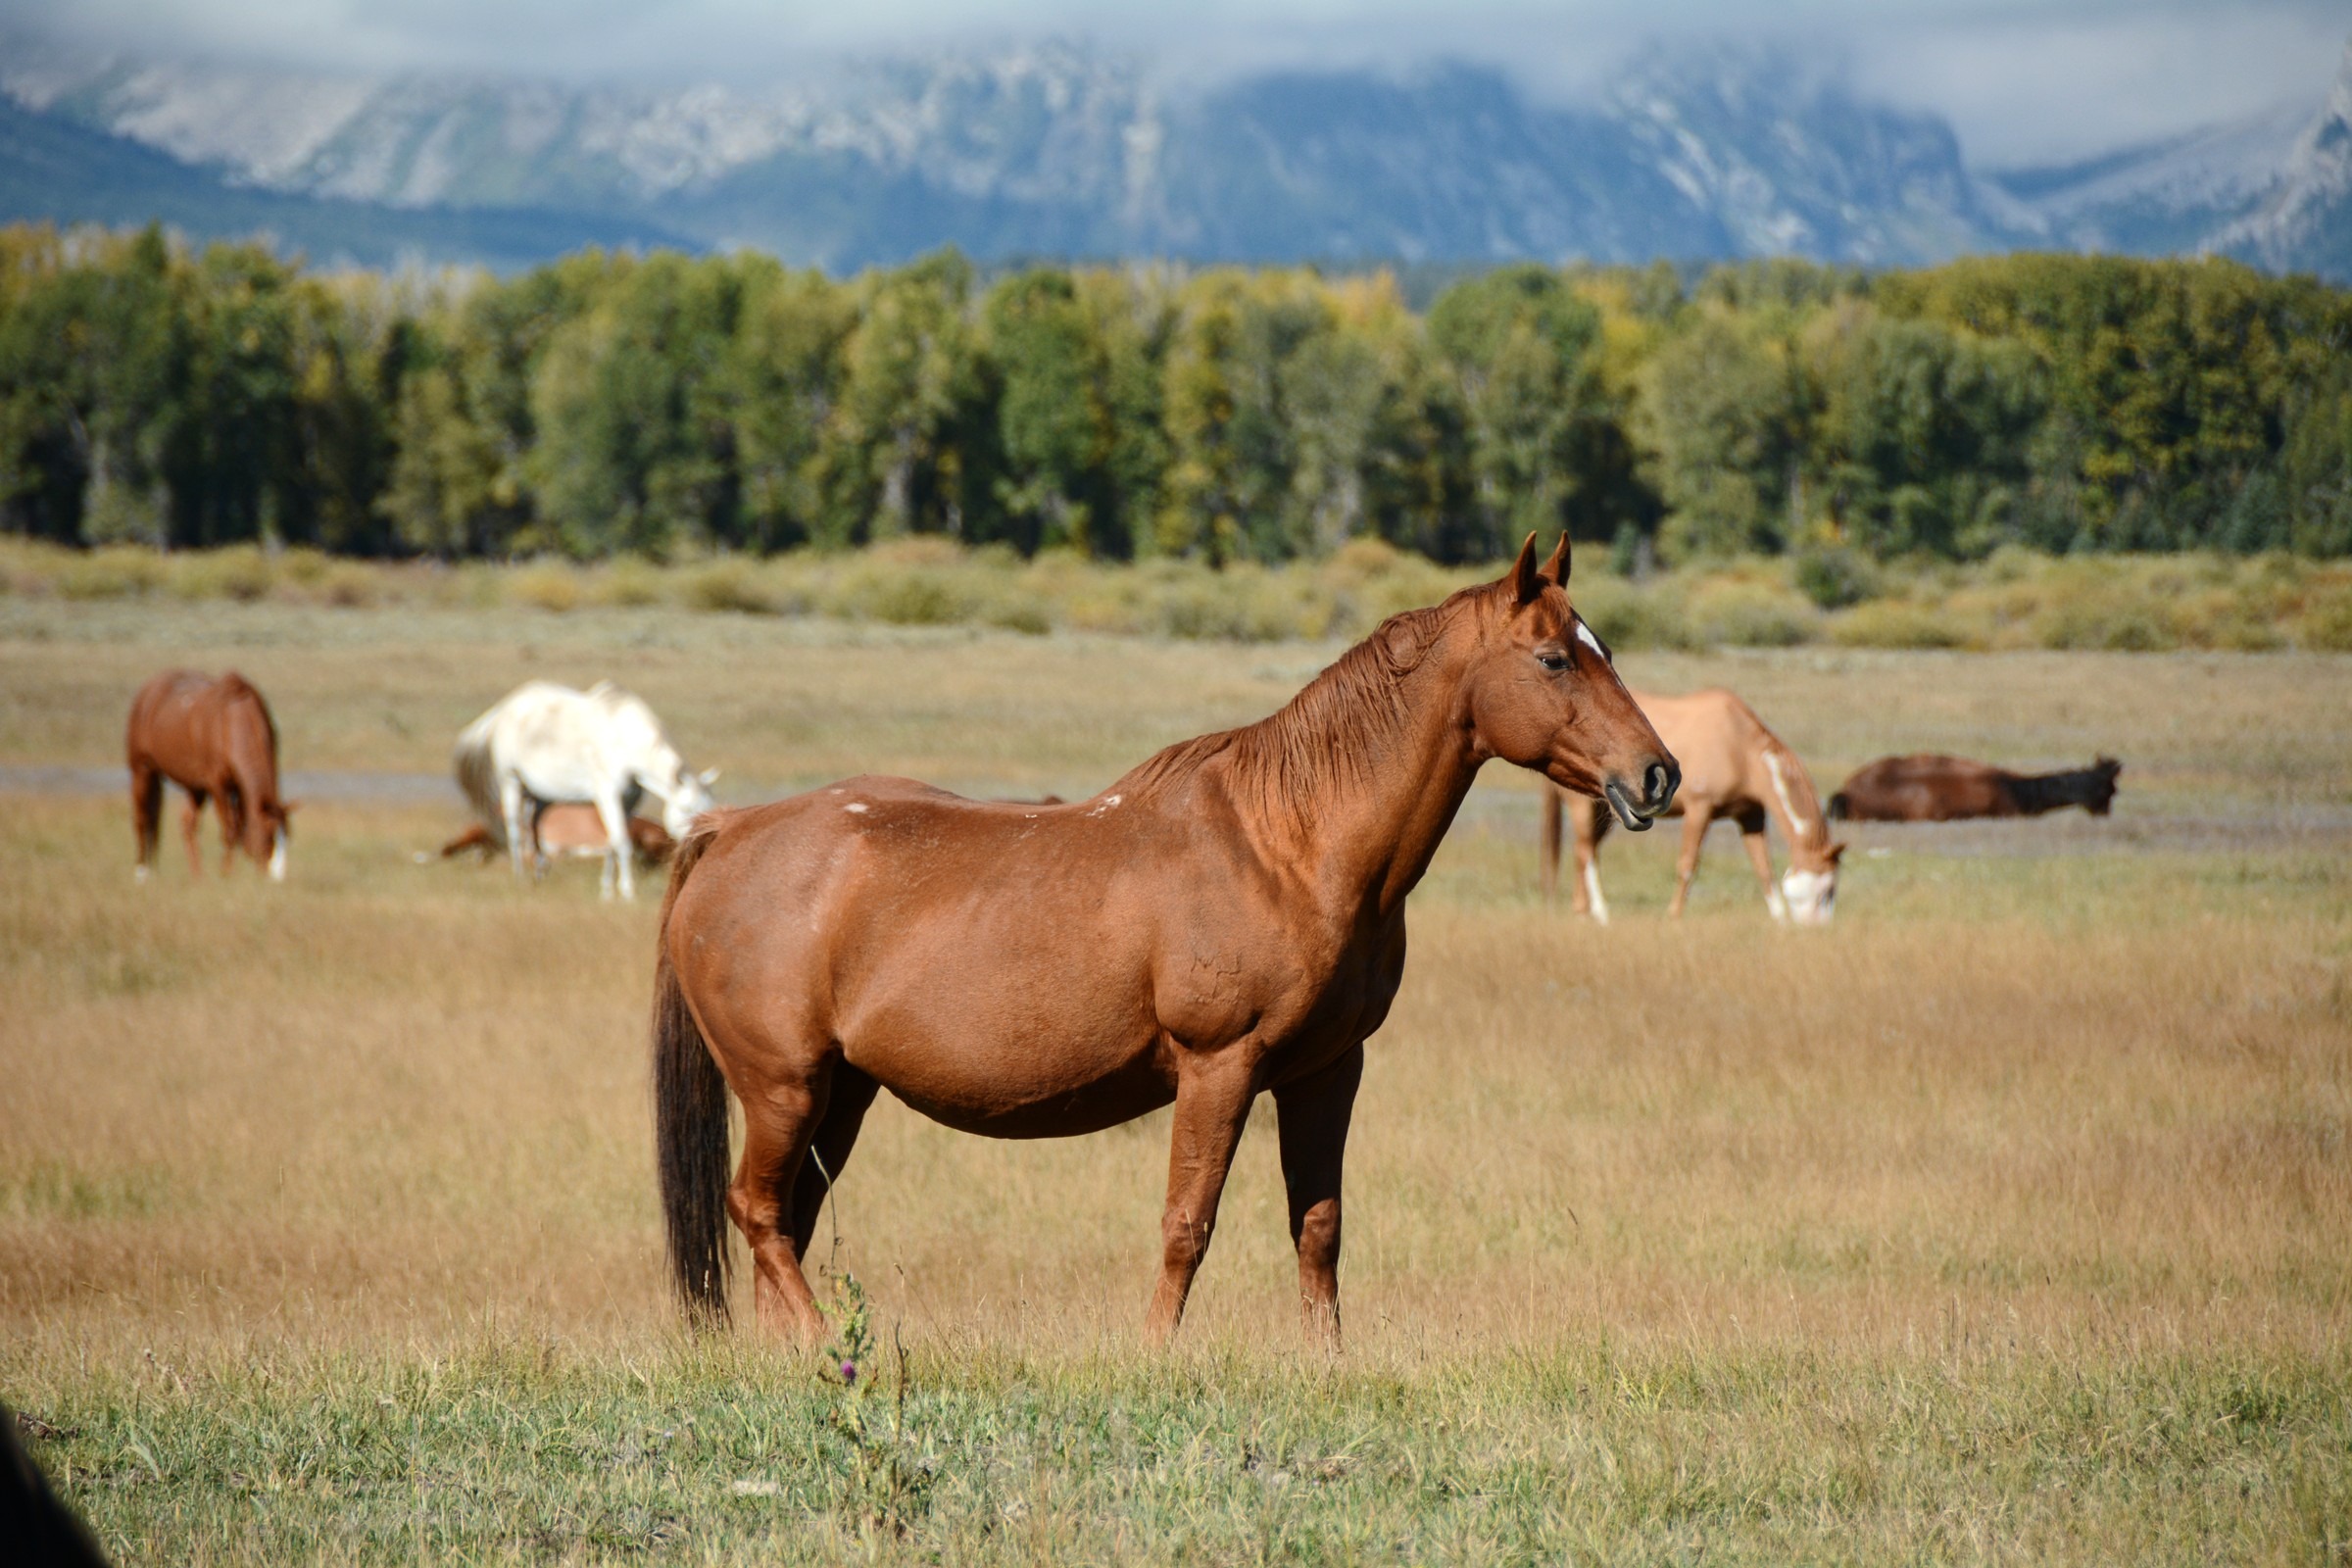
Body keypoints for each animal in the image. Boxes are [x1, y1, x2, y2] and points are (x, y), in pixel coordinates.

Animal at [127, 667, 296, 879]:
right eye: (268, 836)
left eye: (287, 837)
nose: (276, 879)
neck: (233, 720)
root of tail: (148, 691)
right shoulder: (218, 785)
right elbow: (231, 830)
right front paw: (226, 875)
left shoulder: (238, 787)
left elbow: (240, 827)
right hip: (142, 770)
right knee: (142, 819)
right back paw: (142, 873)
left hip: (195, 787)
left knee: (187, 825)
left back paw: (197, 876)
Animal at [454, 681, 714, 903]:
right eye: (686, 809)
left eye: (708, 807)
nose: (701, 846)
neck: (623, 740)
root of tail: (501, 712)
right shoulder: (608, 796)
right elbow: (622, 843)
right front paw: (627, 892)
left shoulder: (628, 801)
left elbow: (612, 842)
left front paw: (607, 891)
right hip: (512, 782)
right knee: (515, 830)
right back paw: (520, 878)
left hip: (540, 796)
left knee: (534, 828)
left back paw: (540, 873)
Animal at [654, 540, 1684, 1353]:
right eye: (1554, 659)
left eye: (1601, 651)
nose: (1658, 776)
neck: (1288, 845)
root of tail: (730, 831)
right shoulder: (1218, 1067)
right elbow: (1188, 1223)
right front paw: (1154, 1354)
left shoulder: (1328, 1072)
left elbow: (1319, 1225)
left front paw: (1328, 1362)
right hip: (784, 1089)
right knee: (758, 1212)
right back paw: (827, 1350)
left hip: (842, 1094)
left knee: (785, 1220)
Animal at [1533, 691, 1843, 930]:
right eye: (1825, 890)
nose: (1816, 927)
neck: (1740, 747)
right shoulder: (1699, 809)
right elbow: (1687, 865)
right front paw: (1674, 916)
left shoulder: (1750, 816)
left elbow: (1763, 868)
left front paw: (1780, 919)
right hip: (1585, 806)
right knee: (1586, 851)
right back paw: (1601, 912)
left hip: (1609, 813)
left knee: (1584, 851)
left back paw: (1582, 911)